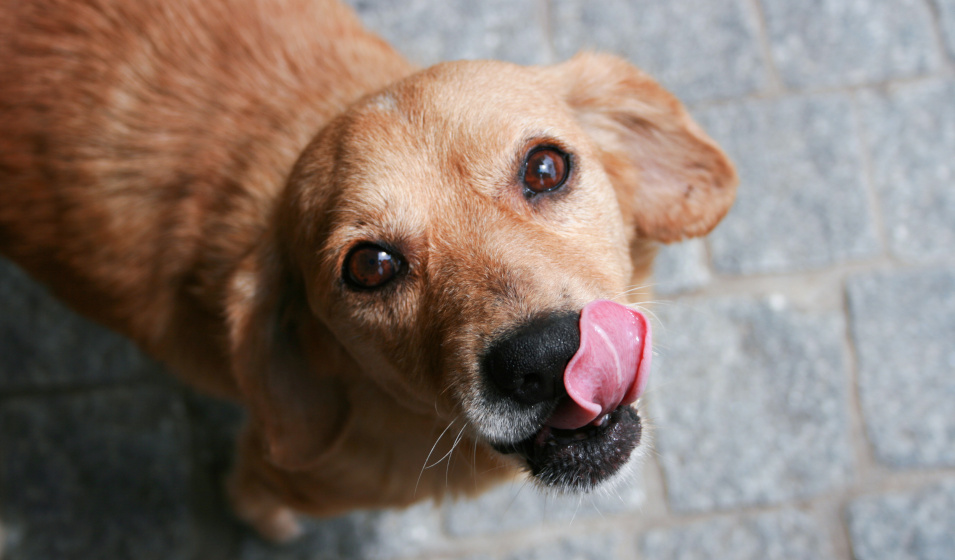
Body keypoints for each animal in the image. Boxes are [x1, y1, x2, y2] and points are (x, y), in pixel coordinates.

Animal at [0, 0, 740, 544]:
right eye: (370, 266)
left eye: (544, 167)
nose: (550, 355)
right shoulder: (272, 469)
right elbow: (256, 497)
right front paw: (270, 526)